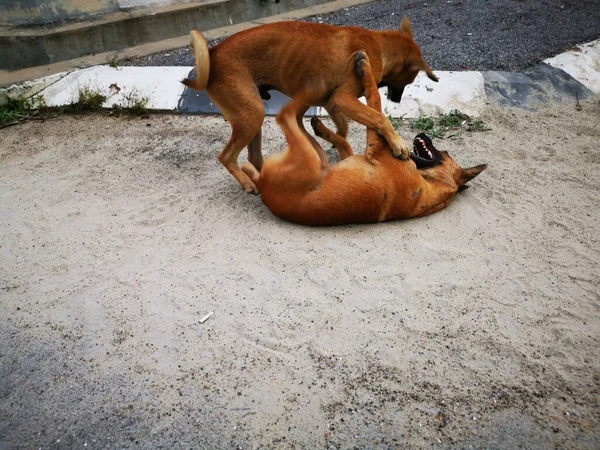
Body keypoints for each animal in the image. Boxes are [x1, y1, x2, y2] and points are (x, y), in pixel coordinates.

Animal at [180, 18, 438, 193]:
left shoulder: (333, 103)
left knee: (255, 157)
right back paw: (248, 183)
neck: (379, 45)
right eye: (409, 79)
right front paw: (397, 143)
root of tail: (212, 54)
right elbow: (378, 117)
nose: (397, 100)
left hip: (253, 116)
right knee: (227, 156)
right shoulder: (343, 99)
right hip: (251, 115)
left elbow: (343, 128)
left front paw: (329, 136)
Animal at [240, 52, 488, 227]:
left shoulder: (375, 147)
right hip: (320, 161)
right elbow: (350, 137)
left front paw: (365, 68)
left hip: (307, 157)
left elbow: (376, 103)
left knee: (286, 116)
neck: (431, 184)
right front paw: (326, 130)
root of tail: (264, 187)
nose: (422, 135)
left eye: (445, 153)